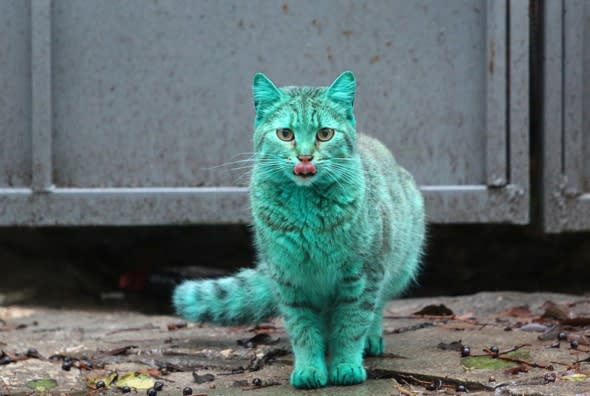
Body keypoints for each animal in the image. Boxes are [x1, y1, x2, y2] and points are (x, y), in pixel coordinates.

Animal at [173, 70, 428, 386]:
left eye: (325, 133)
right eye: (285, 134)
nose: (305, 157)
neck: (307, 212)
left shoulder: (363, 275)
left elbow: (352, 324)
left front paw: (346, 365)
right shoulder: (290, 279)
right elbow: (303, 330)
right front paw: (310, 369)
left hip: (398, 266)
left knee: (377, 308)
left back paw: (371, 339)